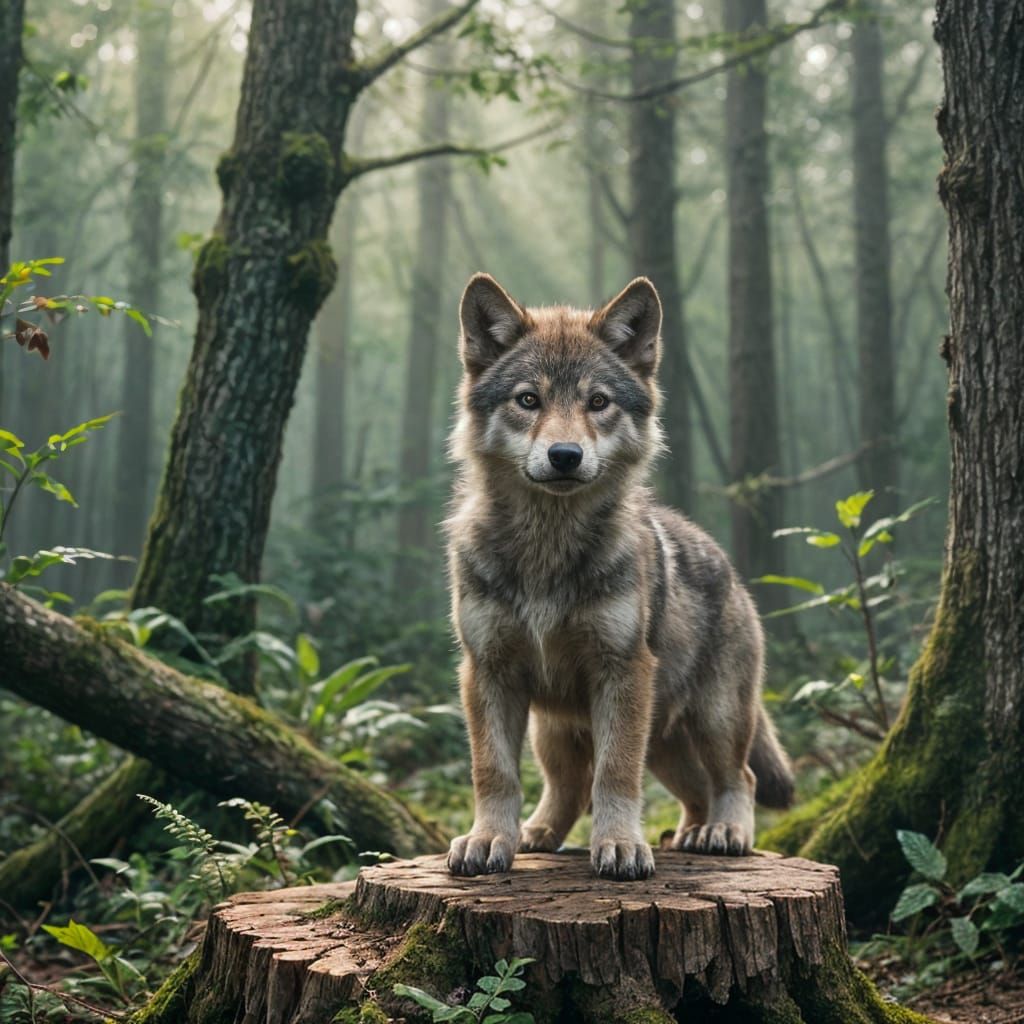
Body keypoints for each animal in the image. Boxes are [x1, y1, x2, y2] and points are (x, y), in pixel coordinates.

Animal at [445, 273, 794, 882]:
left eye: (598, 402)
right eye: (529, 400)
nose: (564, 454)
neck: (547, 553)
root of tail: (730, 569)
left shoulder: (623, 673)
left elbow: (615, 775)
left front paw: (621, 846)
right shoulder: (487, 672)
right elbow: (493, 772)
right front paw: (489, 840)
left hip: (711, 720)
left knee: (736, 778)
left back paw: (722, 833)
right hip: (568, 731)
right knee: (585, 787)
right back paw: (549, 835)